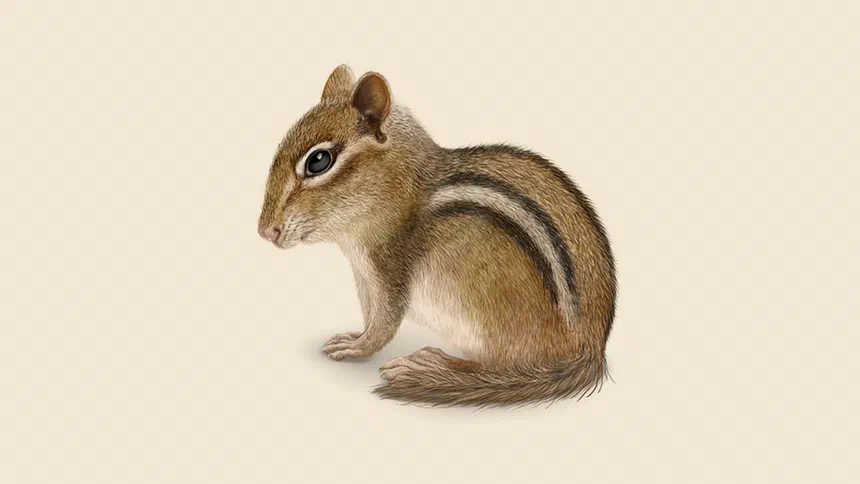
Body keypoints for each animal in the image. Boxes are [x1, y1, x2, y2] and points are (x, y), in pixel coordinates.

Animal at [257, 65, 617, 407]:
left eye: (319, 161)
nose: (264, 231)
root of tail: (590, 349)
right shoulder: (364, 276)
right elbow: (371, 316)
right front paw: (354, 337)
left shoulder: (390, 269)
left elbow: (384, 323)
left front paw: (358, 348)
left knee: (499, 367)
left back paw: (432, 365)